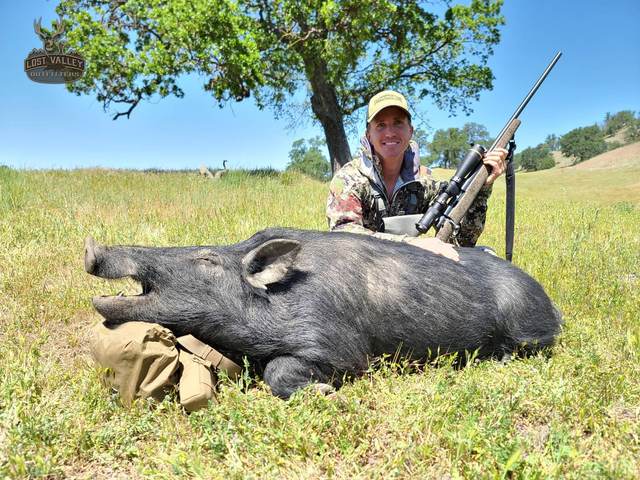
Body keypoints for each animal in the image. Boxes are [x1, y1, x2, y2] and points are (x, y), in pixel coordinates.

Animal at [85, 228, 562, 399]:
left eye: (207, 259)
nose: (92, 246)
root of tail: (553, 305)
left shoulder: (339, 347)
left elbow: (278, 370)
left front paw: (325, 394)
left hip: (528, 328)